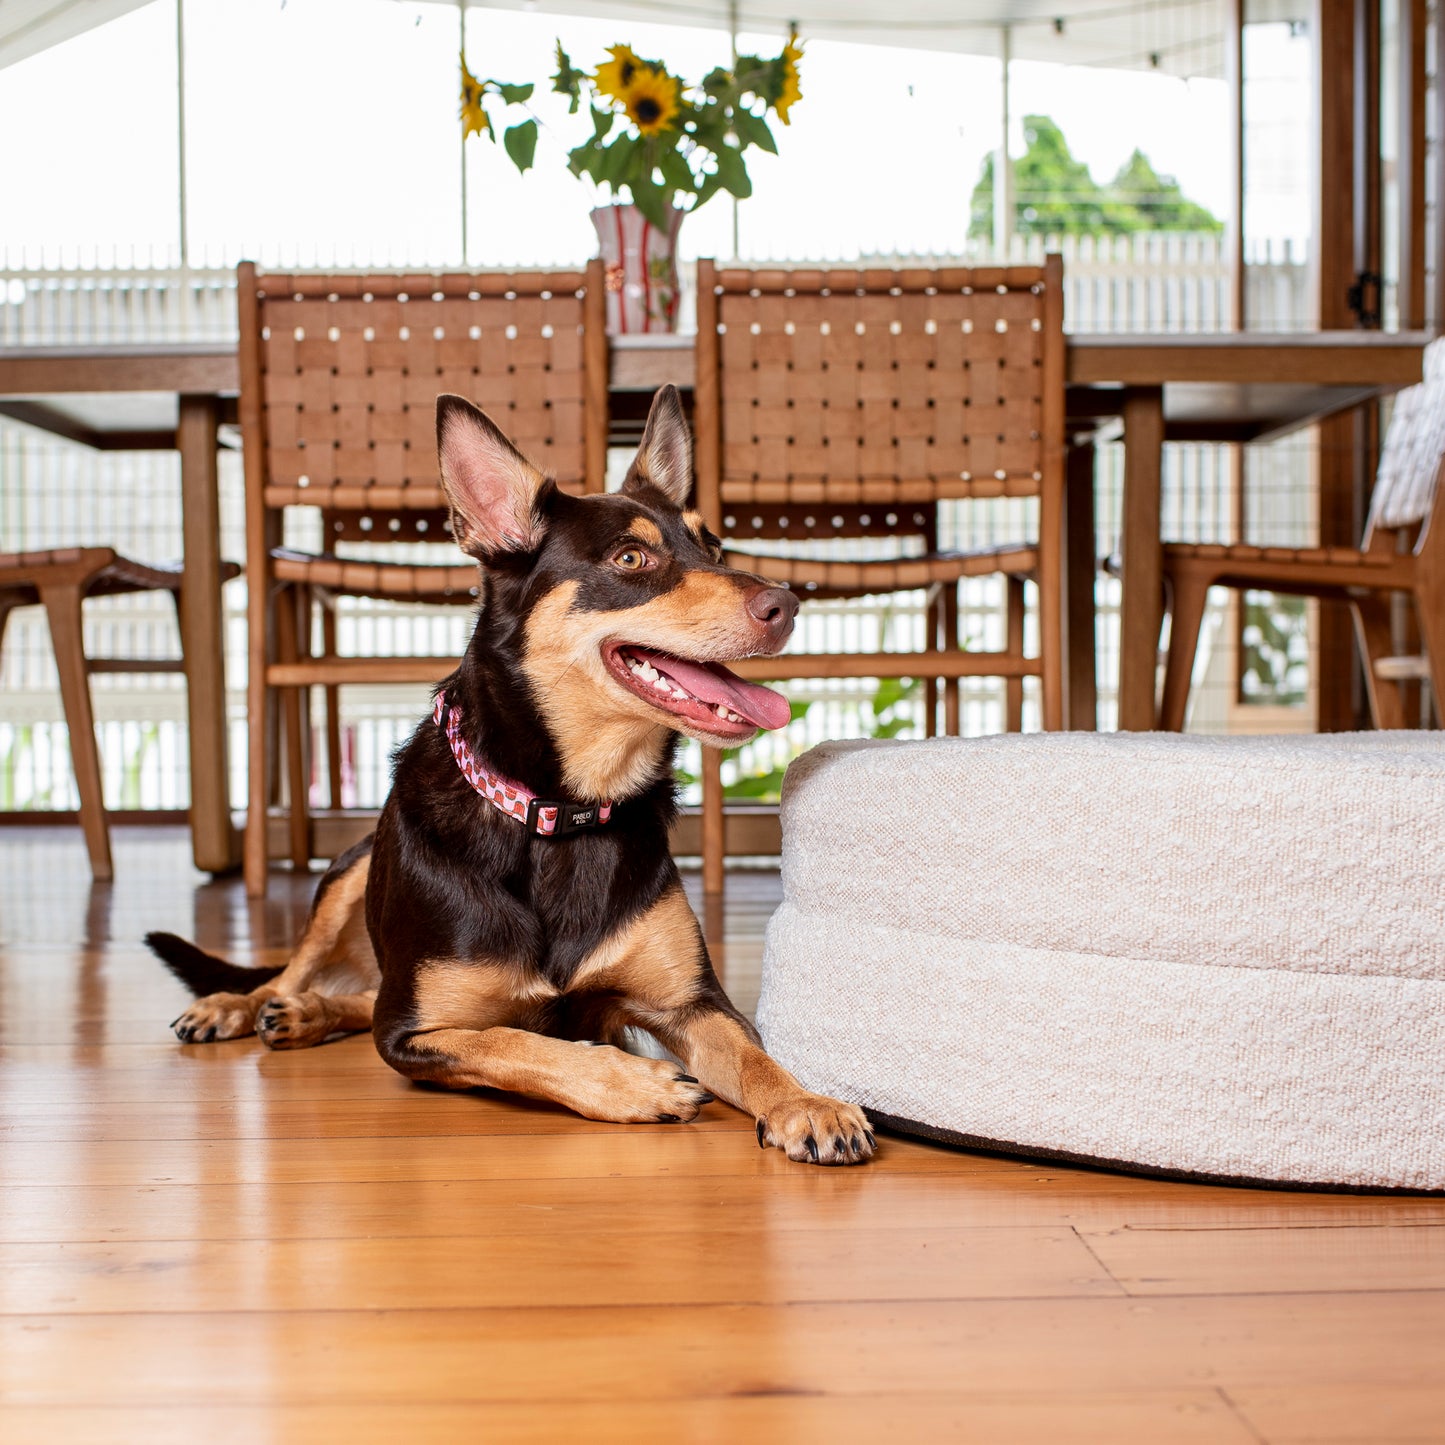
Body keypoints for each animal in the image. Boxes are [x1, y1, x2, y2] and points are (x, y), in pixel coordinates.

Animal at [146, 387, 872, 1161]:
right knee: (295, 970)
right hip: (349, 873)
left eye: (712, 548)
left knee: (353, 995)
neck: (559, 810)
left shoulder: (691, 1005)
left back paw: (304, 1012)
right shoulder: (413, 1034)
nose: (787, 603)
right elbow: (515, 1043)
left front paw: (809, 1102)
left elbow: (753, 1055)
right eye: (632, 556)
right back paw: (243, 1005)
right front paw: (635, 1082)